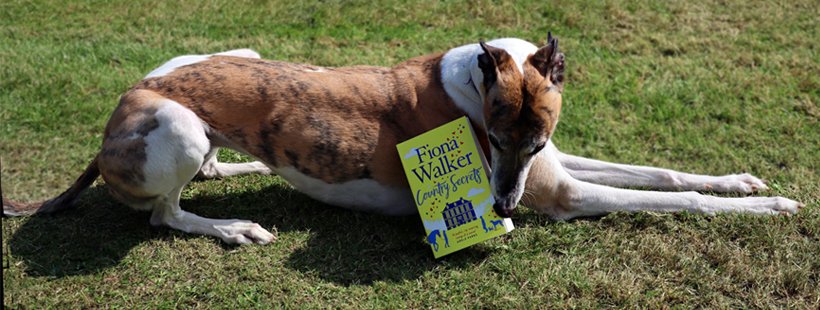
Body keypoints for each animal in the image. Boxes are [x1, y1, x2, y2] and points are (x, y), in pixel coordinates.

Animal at [3, 32, 804, 243]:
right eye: (493, 140)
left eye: (531, 140)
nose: (503, 209)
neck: (476, 79)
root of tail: (124, 103)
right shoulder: (563, 192)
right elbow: (675, 199)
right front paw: (771, 207)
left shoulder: (554, 164)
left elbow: (663, 176)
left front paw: (743, 181)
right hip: (171, 122)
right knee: (165, 214)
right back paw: (231, 226)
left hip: (223, 73)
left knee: (205, 170)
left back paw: (240, 175)